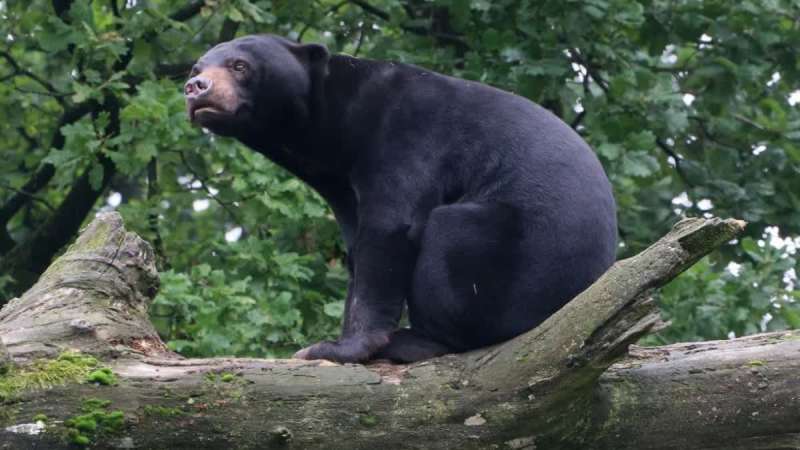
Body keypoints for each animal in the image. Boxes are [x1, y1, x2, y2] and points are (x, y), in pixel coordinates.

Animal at [184, 34, 617, 363]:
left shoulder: (406, 136)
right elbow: (357, 249)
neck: (332, 131)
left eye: (239, 65)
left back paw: (415, 340)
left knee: (450, 236)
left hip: (517, 264)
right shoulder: (343, 185)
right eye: (195, 68)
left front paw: (335, 348)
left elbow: (389, 232)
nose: (195, 88)